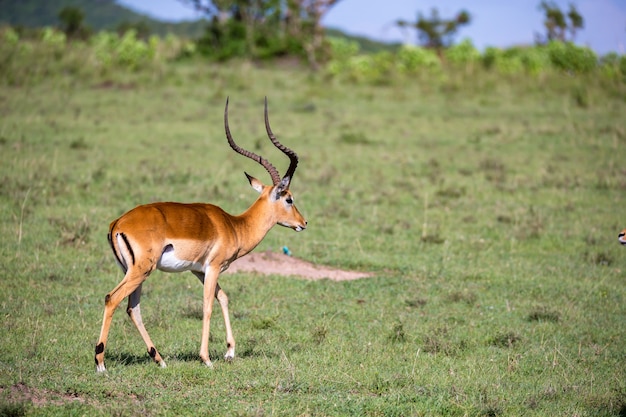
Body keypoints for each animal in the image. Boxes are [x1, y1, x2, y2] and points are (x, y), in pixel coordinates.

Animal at [94, 96, 306, 370]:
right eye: (289, 199)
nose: (303, 223)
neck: (234, 225)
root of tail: (117, 223)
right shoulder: (213, 268)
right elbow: (207, 306)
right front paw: (207, 359)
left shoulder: (199, 270)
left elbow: (223, 297)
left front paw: (230, 352)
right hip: (141, 270)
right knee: (112, 298)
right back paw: (100, 363)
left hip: (133, 272)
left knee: (133, 308)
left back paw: (160, 360)